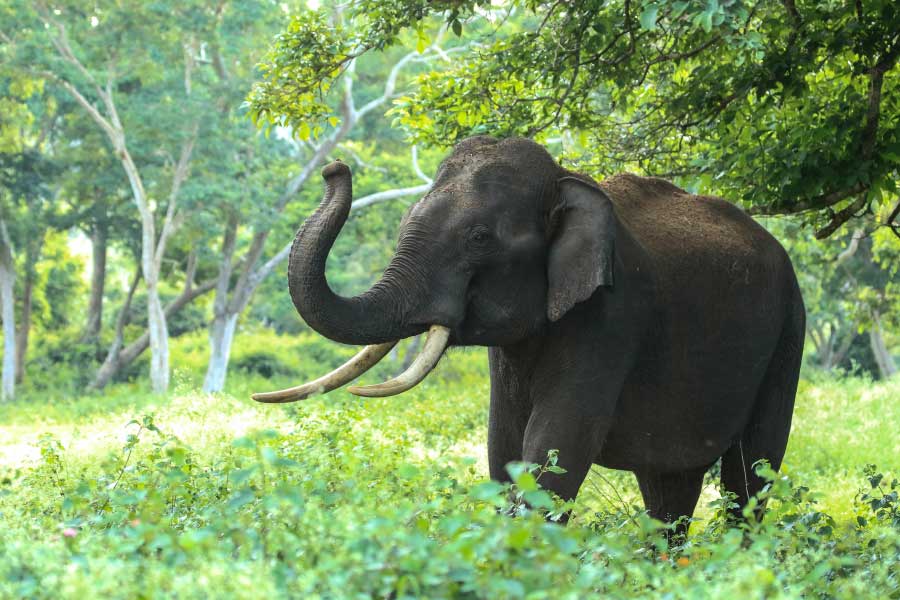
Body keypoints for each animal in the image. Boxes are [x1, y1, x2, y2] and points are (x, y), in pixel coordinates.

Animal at [254, 136, 805, 538]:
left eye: (479, 238)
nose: (334, 168)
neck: (565, 181)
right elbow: (505, 447)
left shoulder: (612, 316)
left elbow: (556, 448)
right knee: (668, 488)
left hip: (788, 332)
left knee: (752, 472)